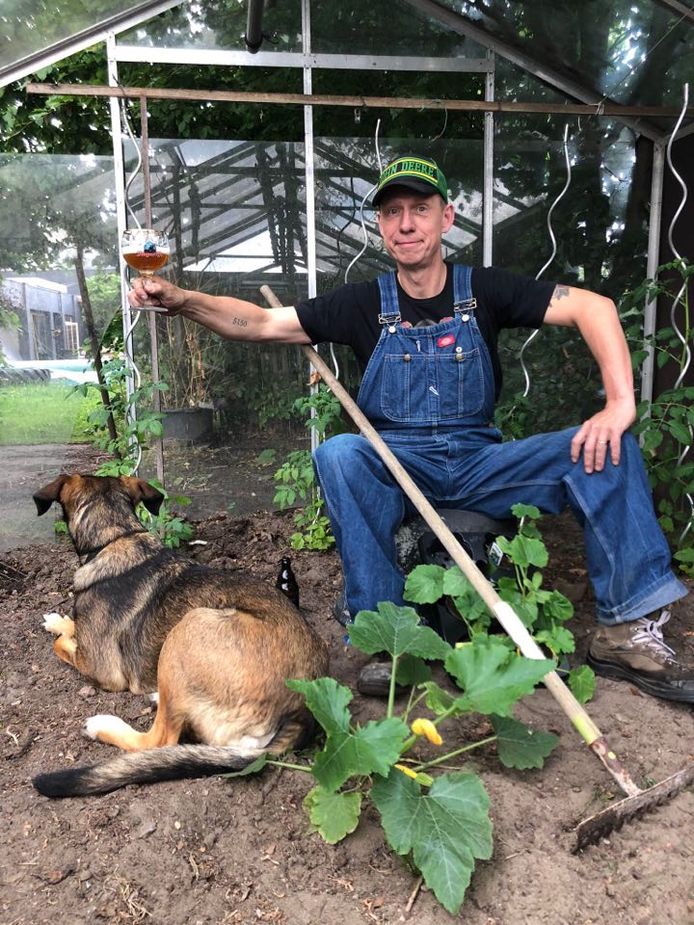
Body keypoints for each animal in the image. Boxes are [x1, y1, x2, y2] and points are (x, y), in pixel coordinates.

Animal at [34, 472, 334, 796]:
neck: (117, 537)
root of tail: (300, 712)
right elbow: (71, 625)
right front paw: (58, 620)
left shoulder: (101, 670)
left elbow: (60, 645)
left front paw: (62, 632)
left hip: (188, 628)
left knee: (158, 741)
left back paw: (103, 725)